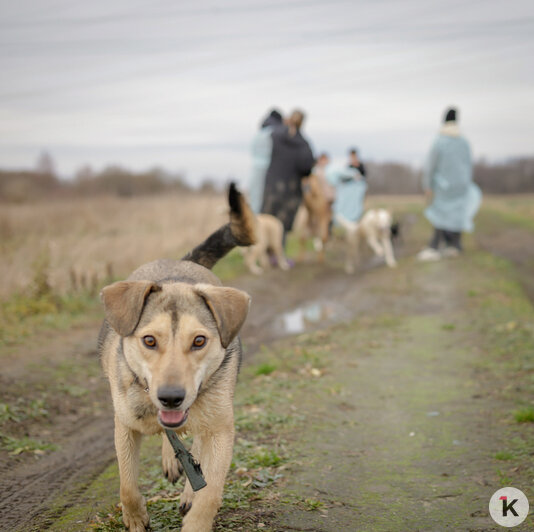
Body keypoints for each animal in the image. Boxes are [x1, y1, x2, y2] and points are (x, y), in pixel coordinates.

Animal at [101, 184, 260, 532]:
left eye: (199, 341)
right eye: (149, 340)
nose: (171, 397)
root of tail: (182, 261)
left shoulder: (221, 428)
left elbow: (210, 491)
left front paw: (196, 515)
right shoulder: (125, 424)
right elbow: (126, 484)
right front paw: (135, 517)